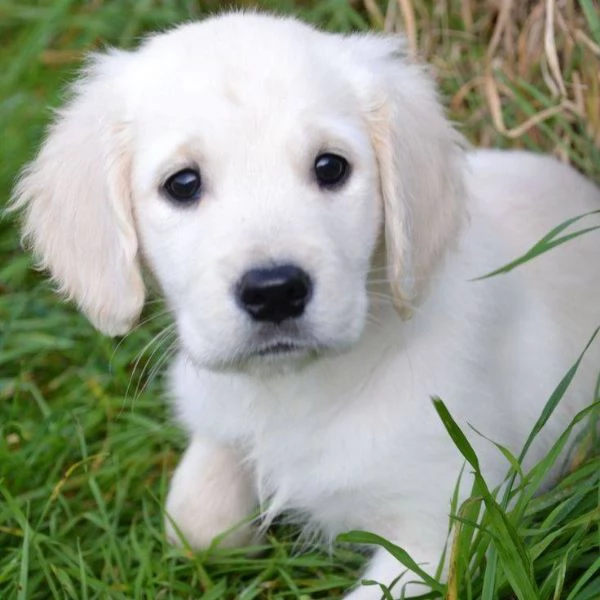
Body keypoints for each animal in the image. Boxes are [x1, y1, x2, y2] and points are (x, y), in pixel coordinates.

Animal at [11, 11, 600, 596]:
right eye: (183, 183)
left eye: (330, 167)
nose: (274, 291)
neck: (295, 391)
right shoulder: (213, 409)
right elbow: (193, 521)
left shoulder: (445, 521)